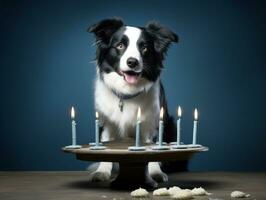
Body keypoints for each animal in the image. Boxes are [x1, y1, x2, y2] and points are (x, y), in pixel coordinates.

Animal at [88, 18, 178, 182]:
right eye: (120, 46)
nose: (132, 62)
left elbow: (153, 150)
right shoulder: (106, 123)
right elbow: (106, 147)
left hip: (171, 124)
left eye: (144, 48)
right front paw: (102, 171)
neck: (126, 94)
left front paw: (155, 172)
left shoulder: (152, 124)